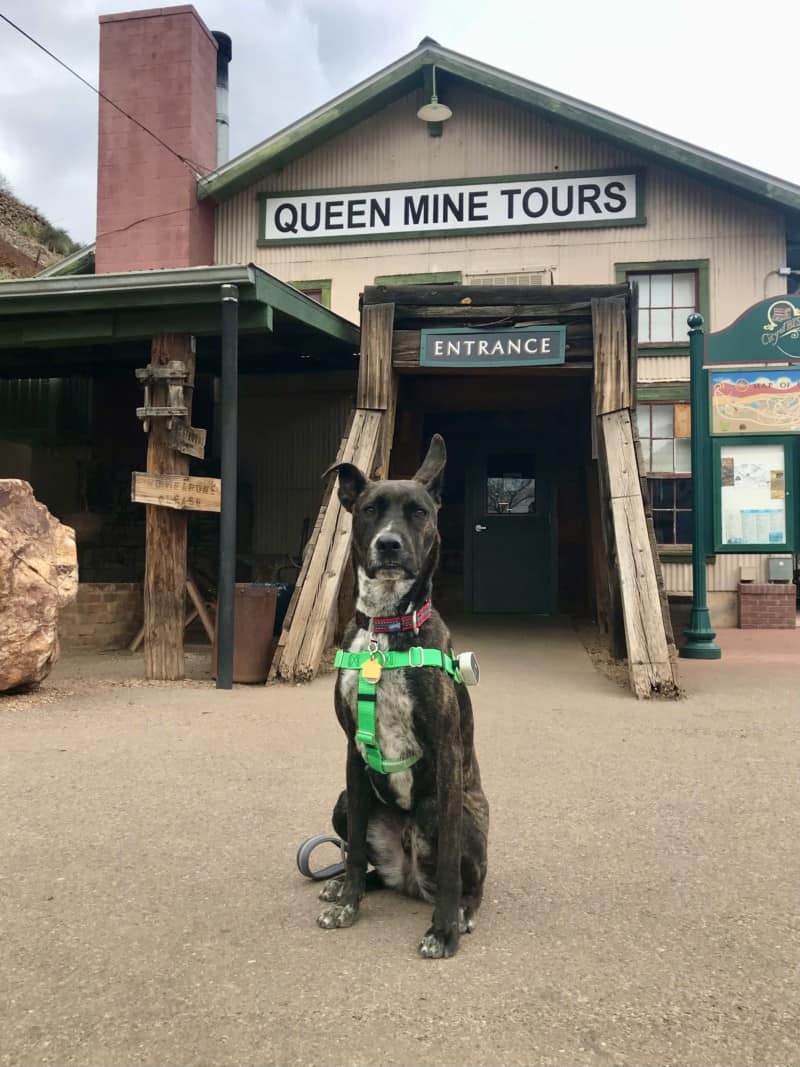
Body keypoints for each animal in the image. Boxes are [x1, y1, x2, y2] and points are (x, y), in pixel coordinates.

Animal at [315, 433, 488, 960]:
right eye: (370, 509)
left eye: (419, 512)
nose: (388, 544)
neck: (386, 627)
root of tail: (411, 878)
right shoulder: (352, 752)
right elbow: (352, 851)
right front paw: (348, 905)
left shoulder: (448, 752)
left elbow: (451, 863)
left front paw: (443, 932)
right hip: (344, 800)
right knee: (368, 863)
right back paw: (343, 885)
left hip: (460, 814)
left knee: (471, 881)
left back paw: (462, 914)